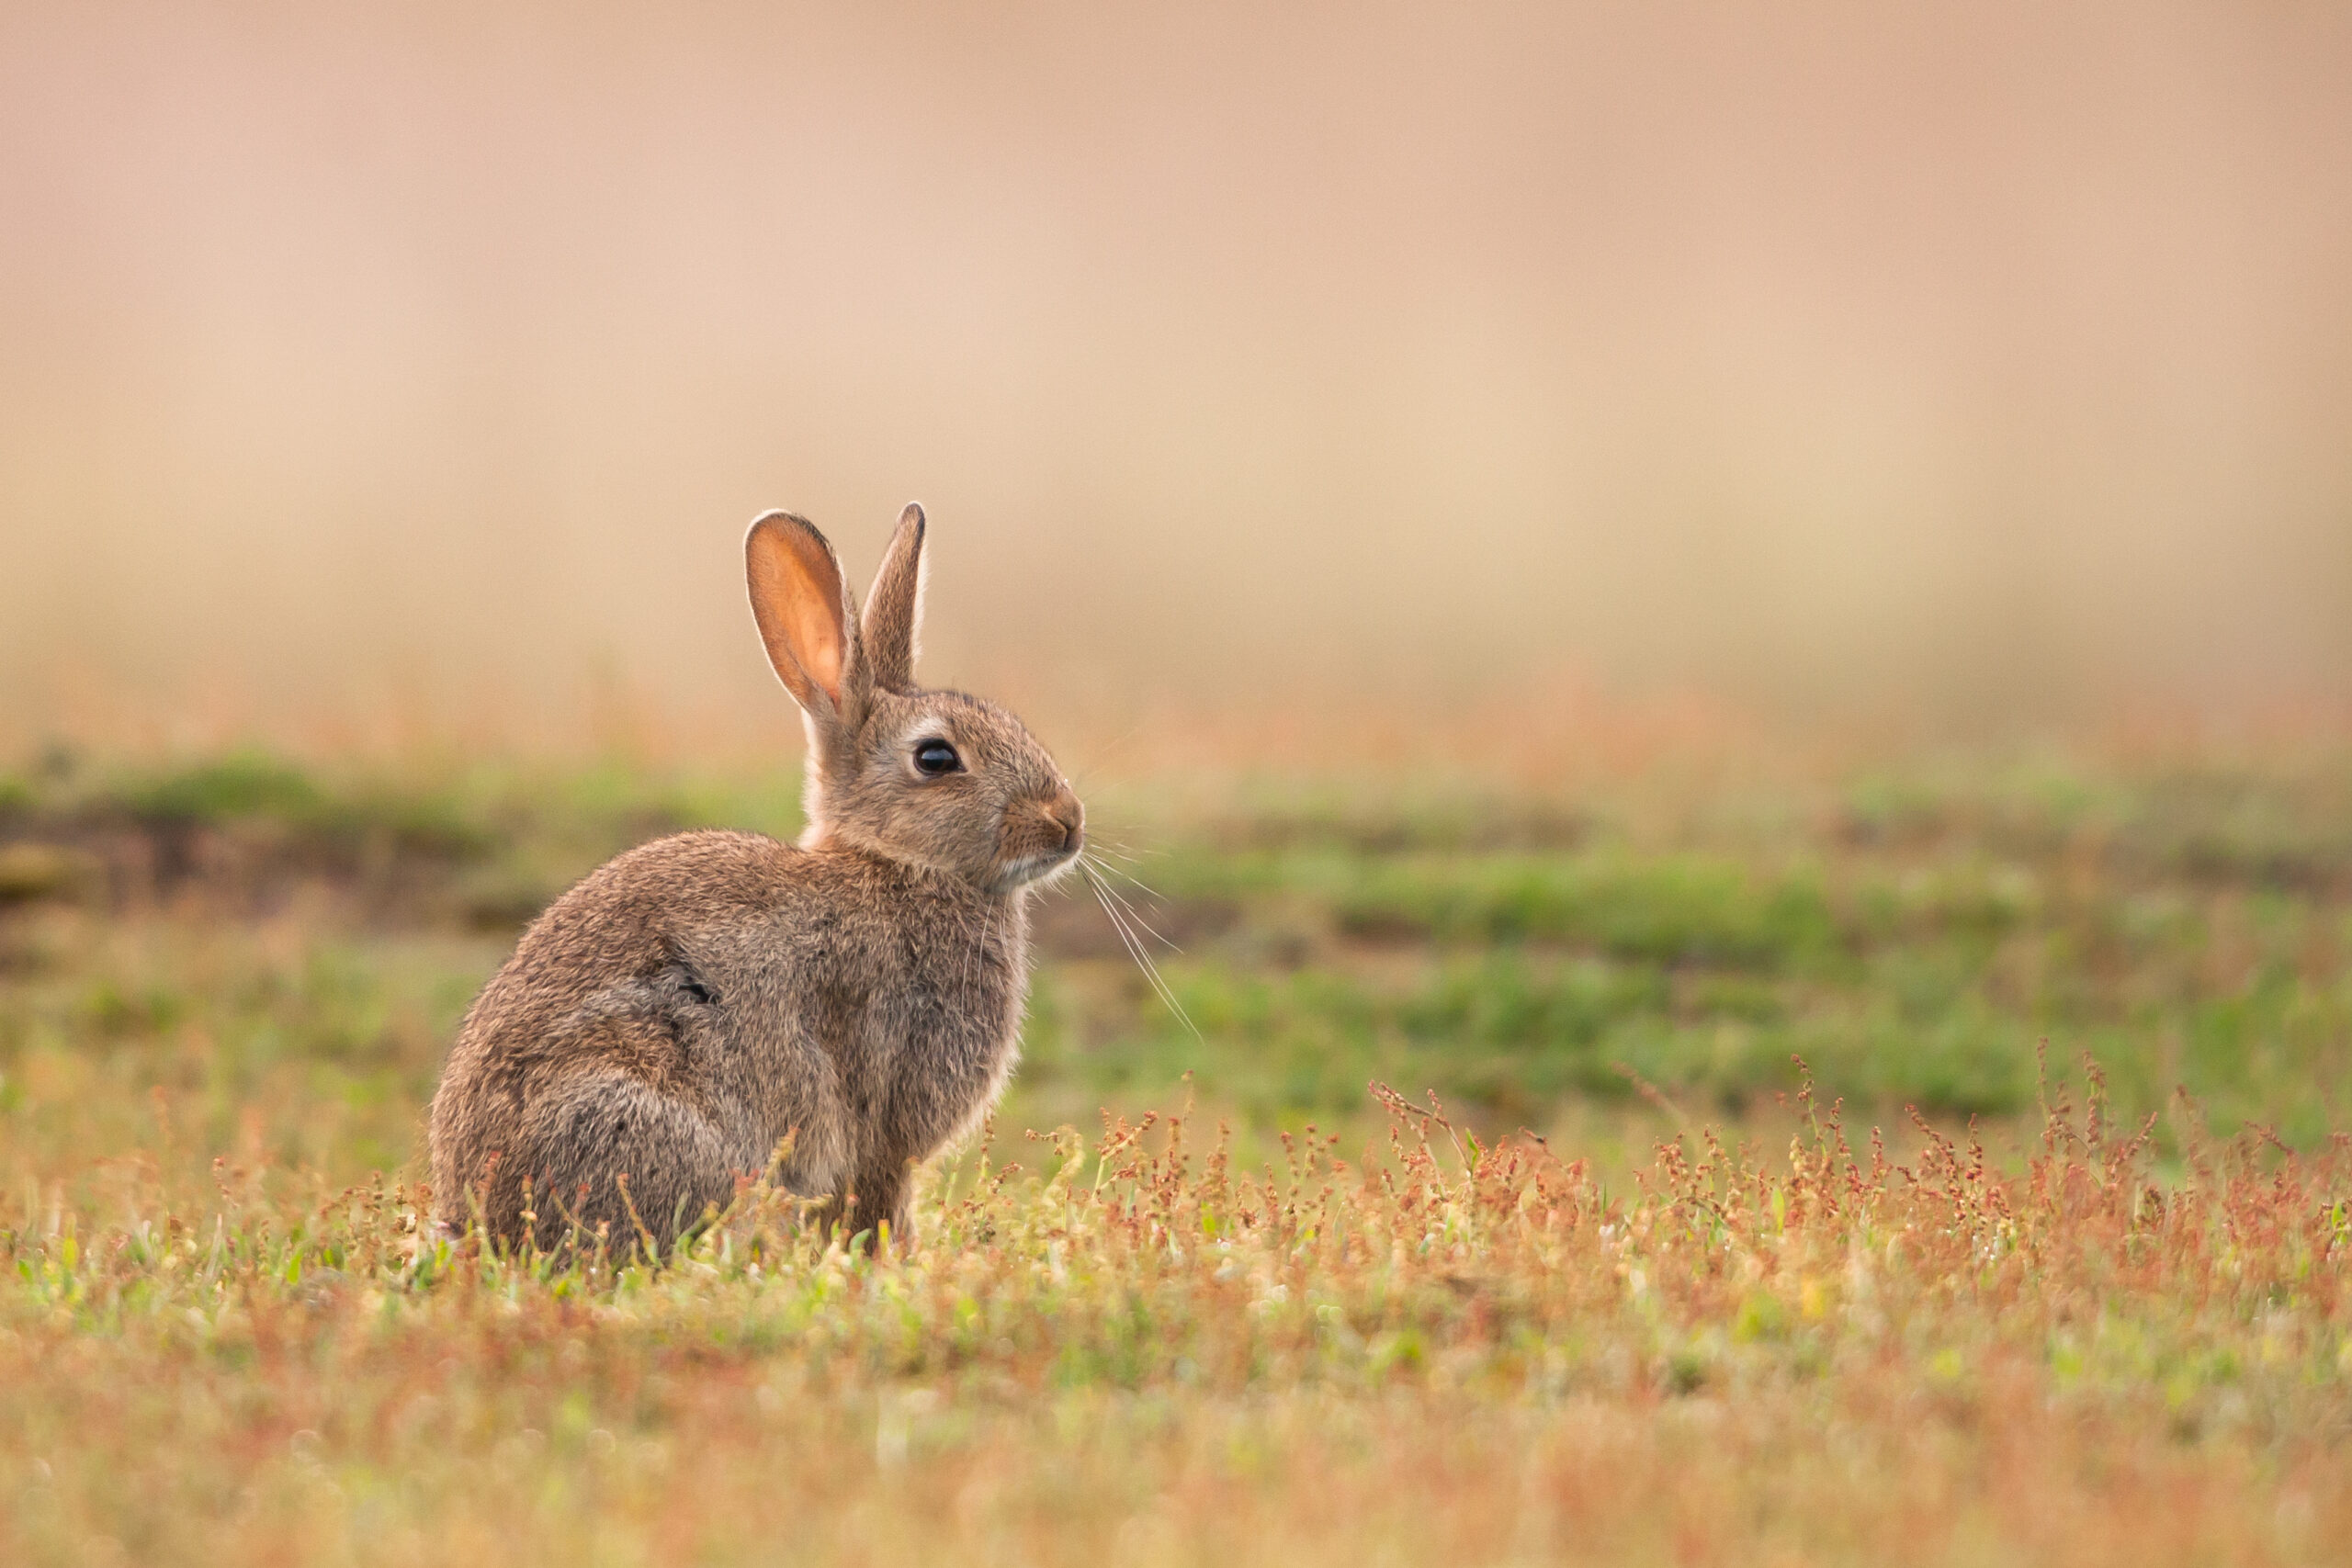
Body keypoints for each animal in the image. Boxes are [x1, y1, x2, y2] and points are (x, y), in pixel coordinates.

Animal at [425, 510, 1081, 1259]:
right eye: (937, 758)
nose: (1067, 820)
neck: (900, 865)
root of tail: (480, 1217)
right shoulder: (886, 1119)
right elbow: (875, 1202)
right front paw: (892, 1261)